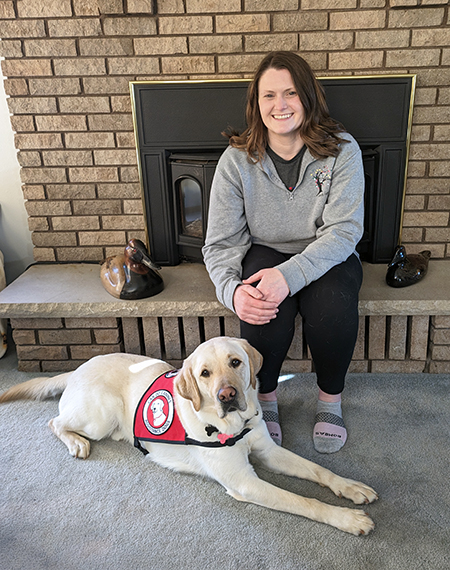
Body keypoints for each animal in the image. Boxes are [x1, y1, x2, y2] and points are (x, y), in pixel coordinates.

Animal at [0, 336, 376, 536]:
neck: (233, 425)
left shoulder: (267, 450)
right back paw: (76, 441)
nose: (227, 395)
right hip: (100, 416)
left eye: (236, 362)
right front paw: (345, 518)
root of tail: (78, 367)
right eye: (205, 373)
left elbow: (318, 470)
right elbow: (303, 501)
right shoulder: (244, 483)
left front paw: (350, 487)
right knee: (55, 421)